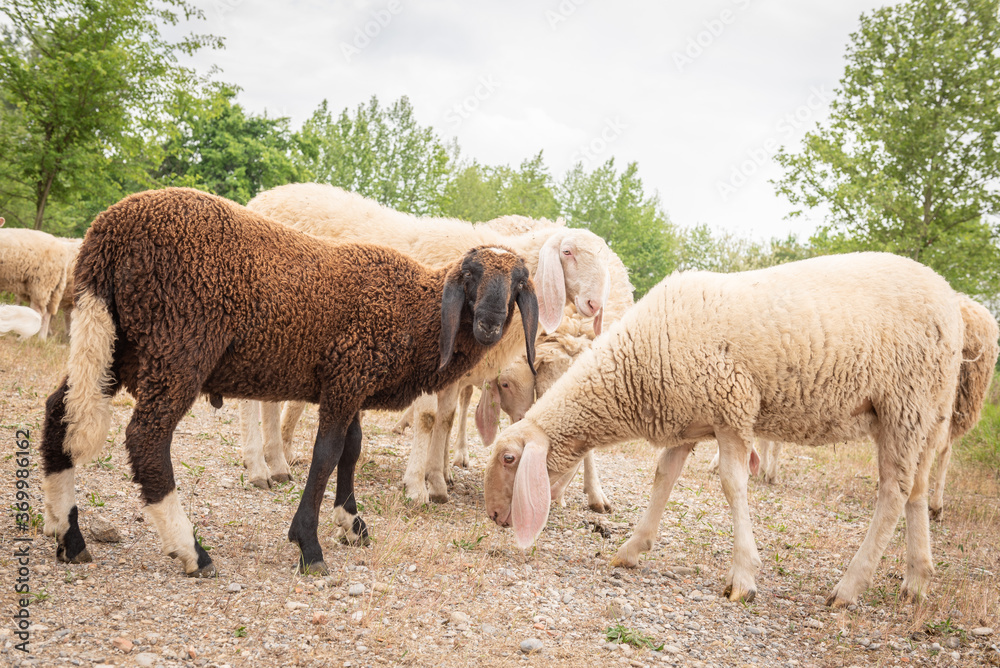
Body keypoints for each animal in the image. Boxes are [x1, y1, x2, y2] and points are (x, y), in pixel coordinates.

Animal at [39, 187, 538, 577]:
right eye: (470, 277)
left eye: (517, 285)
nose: (490, 325)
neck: (415, 311)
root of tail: (107, 231)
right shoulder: (347, 377)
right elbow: (326, 454)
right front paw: (309, 545)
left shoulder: (350, 380)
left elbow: (351, 450)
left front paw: (350, 521)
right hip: (178, 345)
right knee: (146, 436)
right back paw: (191, 551)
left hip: (114, 343)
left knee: (58, 412)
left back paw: (70, 537)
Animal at [239, 183, 619, 503]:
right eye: (567, 252)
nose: (594, 305)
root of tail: (264, 197)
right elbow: (427, 418)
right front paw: (416, 487)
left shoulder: (452, 370)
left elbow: (446, 419)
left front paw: (436, 481)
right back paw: (259, 467)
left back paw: (276, 462)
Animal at [484, 252, 982, 607]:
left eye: (509, 459)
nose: (492, 516)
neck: (636, 362)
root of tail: (948, 295)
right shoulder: (687, 420)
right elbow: (663, 479)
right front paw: (631, 549)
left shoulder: (732, 409)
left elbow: (732, 484)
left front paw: (743, 576)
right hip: (923, 412)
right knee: (916, 488)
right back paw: (917, 579)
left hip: (905, 401)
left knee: (894, 491)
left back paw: (849, 587)